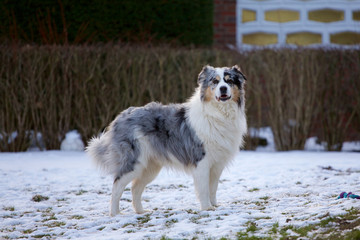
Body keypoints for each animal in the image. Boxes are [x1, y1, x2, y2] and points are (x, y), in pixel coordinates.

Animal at [86, 64, 248, 216]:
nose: (223, 89)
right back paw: (115, 214)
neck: (219, 113)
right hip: (133, 162)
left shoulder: (217, 163)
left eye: (229, 81)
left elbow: (213, 188)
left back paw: (141, 211)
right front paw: (206, 208)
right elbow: (203, 189)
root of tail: (120, 117)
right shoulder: (201, 161)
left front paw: (214, 206)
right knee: (117, 186)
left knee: (135, 187)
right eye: (215, 81)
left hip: (150, 167)